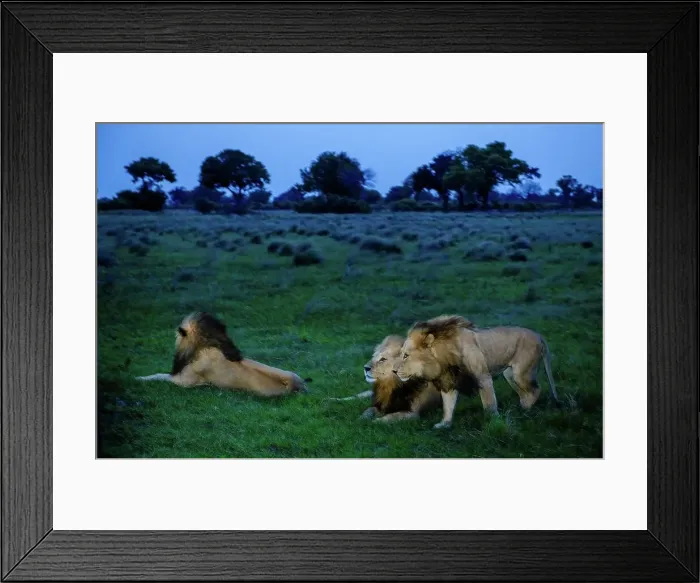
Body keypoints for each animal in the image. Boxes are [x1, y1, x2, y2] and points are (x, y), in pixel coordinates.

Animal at [395, 315, 559, 429]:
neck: (441, 358)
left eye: (406, 355)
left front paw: (494, 422)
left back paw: (525, 411)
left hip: (520, 373)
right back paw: (520, 408)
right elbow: (448, 405)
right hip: (509, 374)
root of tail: (539, 335)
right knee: (525, 393)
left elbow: (489, 403)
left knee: (536, 390)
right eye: (401, 353)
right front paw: (444, 424)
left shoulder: (482, 376)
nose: (394, 371)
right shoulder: (450, 380)